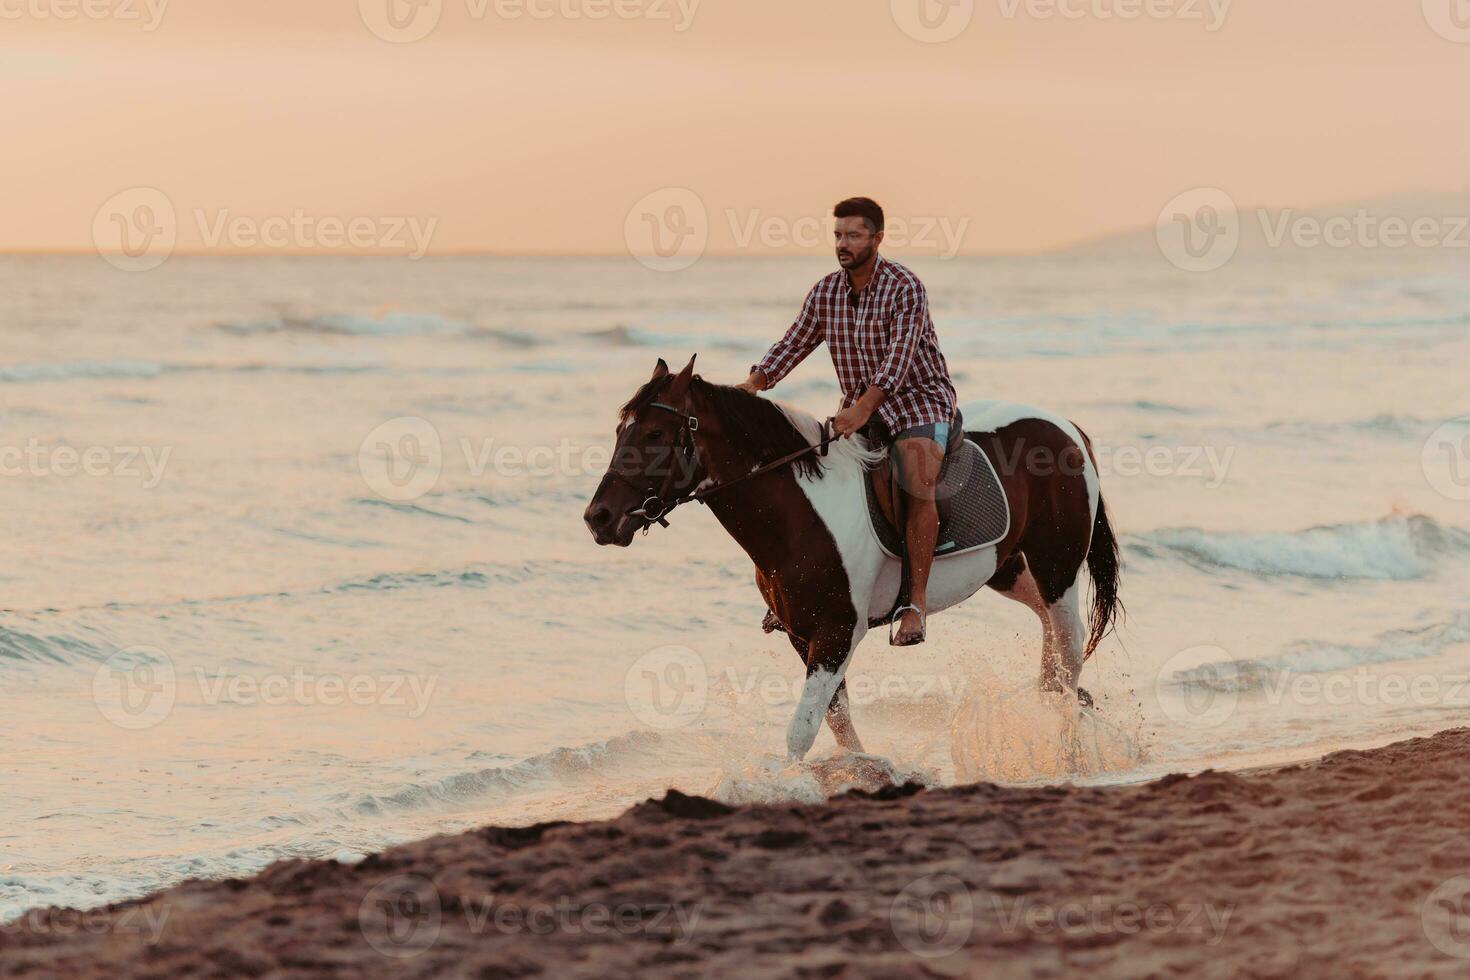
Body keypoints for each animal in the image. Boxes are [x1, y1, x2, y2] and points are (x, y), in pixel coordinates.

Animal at [579, 357, 1117, 764]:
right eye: (621, 430)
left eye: (655, 434)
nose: (598, 518)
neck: (801, 512)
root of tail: (1067, 428)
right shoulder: (803, 634)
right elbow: (837, 722)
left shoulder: (837, 632)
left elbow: (802, 730)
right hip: (1010, 570)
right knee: (1052, 643)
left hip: (1057, 568)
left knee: (1069, 653)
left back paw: (1067, 752)